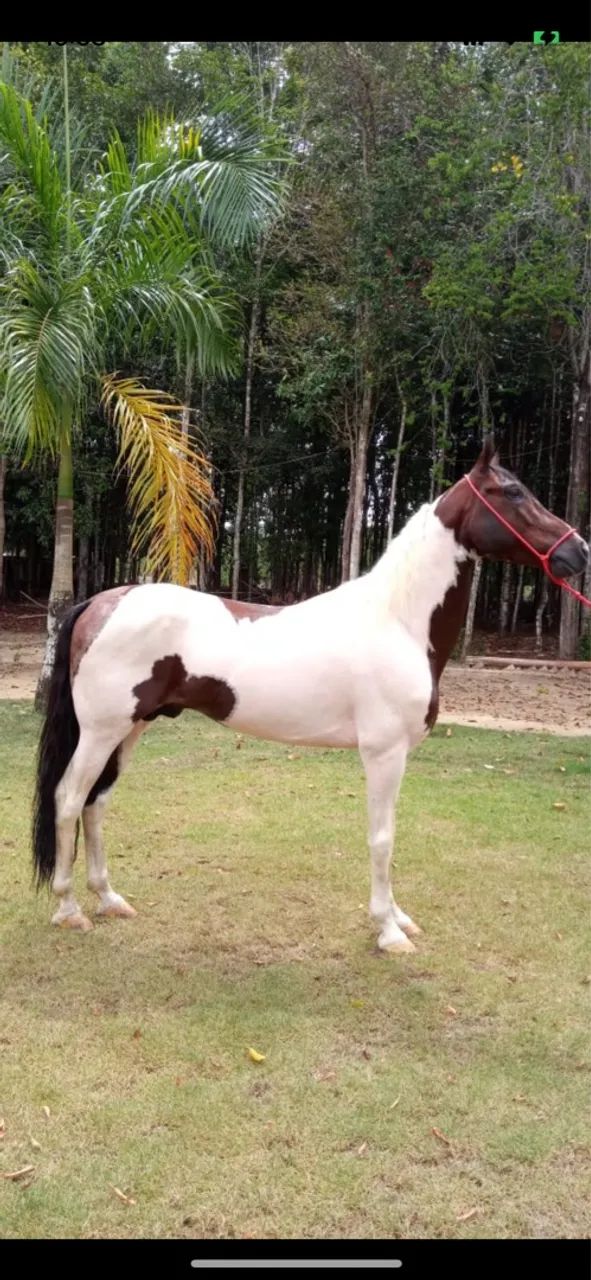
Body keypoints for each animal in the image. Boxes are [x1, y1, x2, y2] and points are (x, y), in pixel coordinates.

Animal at [32, 437, 589, 953]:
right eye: (512, 492)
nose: (578, 551)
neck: (398, 621)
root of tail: (102, 602)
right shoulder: (384, 753)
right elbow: (382, 839)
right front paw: (389, 931)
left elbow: (391, 834)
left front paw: (399, 918)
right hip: (101, 731)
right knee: (68, 798)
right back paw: (69, 909)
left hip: (131, 728)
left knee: (97, 802)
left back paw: (109, 899)